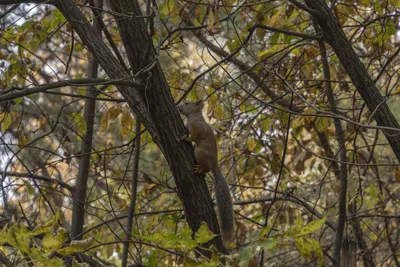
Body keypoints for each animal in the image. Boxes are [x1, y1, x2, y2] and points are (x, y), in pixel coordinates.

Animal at [178, 100, 234, 247]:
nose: (178, 106)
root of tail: (214, 166)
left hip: (200, 151)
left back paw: (201, 170)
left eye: (187, 103)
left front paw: (186, 138)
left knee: (205, 167)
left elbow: (193, 135)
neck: (195, 115)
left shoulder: (196, 127)